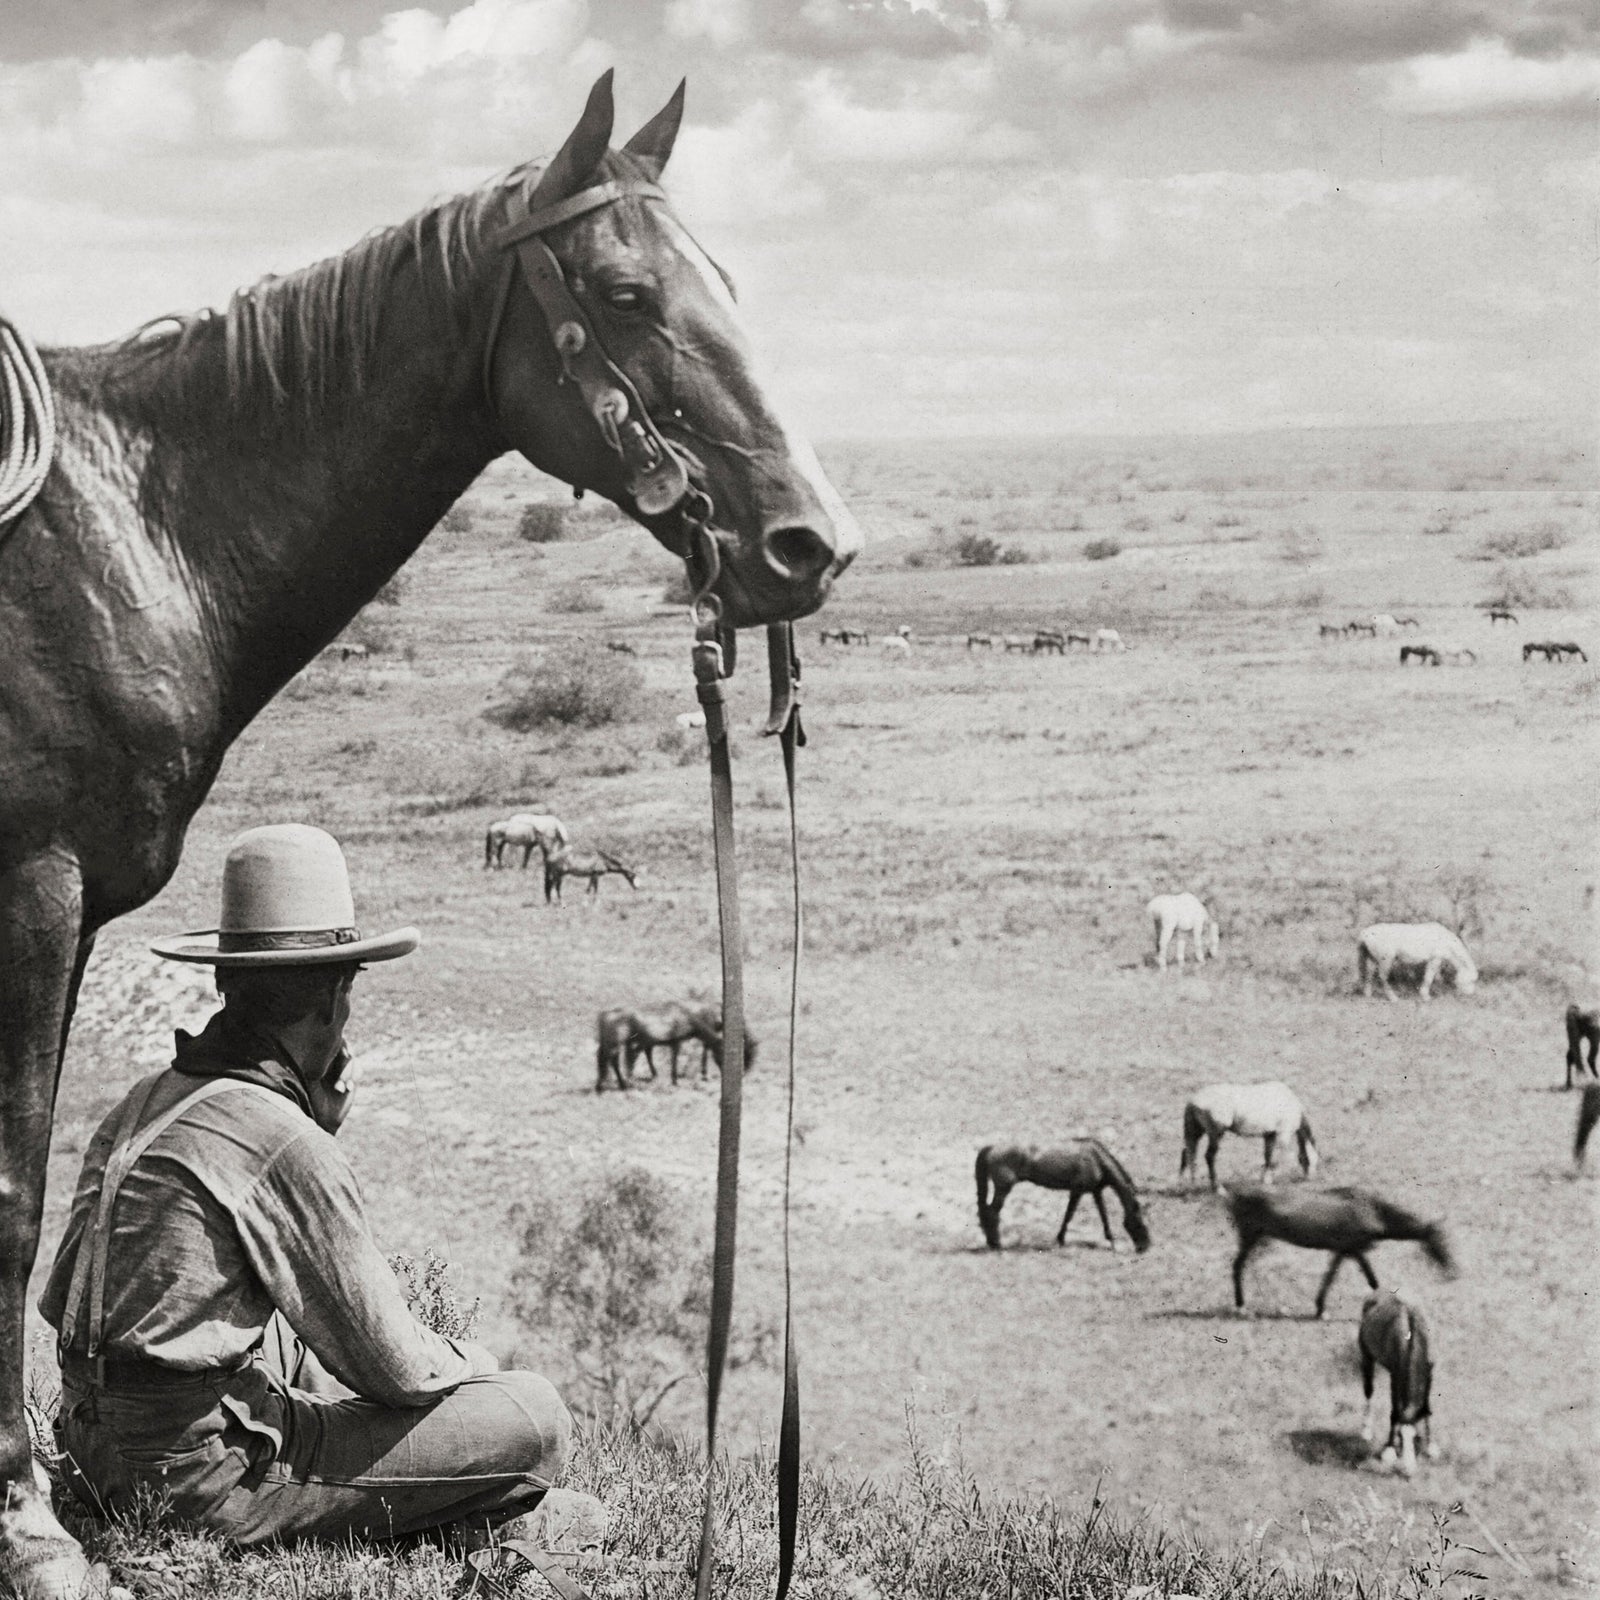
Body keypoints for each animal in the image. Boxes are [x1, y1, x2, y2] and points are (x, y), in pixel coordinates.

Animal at [0, 71, 867, 1586]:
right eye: (627, 292)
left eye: (727, 281)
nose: (809, 544)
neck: (129, 528)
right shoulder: (33, 890)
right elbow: (12, 1195)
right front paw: (24, 1527)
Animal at [974, 1141, 1151, 1253]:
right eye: (1139, 1221)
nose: (1145, 1246)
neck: (1095, 1159)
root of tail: (991, 1148)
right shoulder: (1077, 1191)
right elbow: (1069, 1215)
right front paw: (1060, 1240)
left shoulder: (1095, 1191)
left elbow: (1103, 1216)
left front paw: (1111, 1240)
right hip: (1003, 1188)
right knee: (992, 1212)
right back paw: (996, 1244)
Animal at [1180, 1081, 1318, 1190]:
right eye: (1311, 1160)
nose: (1310, 1178)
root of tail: (1192, 1100)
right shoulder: (1283, 1135)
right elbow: (1276, 1159)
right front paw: (1269, 1180)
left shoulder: (1270, 1135)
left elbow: (1268, 1156)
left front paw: (1265, 1180)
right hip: (1216, 1133)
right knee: (1209, 1156)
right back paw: (1218, 1189)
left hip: (1196, 1133)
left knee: (1188, 1154)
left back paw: (1189, 1186)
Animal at [1225, 1185, 1455, 1317]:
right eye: (1441, 1240)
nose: (1454, 1272)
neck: (1372, 1210)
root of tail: (1235, 1195)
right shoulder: (1351, 1249)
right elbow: (1360, 1280)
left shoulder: (1345, 1251)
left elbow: (1341, 1278)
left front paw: (1320, 1308)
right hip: (1250, 1237)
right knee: (1237, 1266)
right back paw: (1240, 1307)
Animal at [1358, 1290, 1437, 1476]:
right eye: (1400, 1438)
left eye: (1415, 1438)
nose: (1408, 1471)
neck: (1412, 1336)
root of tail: (1377, 1292)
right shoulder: (1396, 1376)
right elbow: (1394, 1412)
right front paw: (1389, 1450)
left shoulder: (1429, 1372)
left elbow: (1427, 1407)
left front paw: (1430, 1446)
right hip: (1367, 1356)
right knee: (1368, 1390)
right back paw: (1366, 1429)